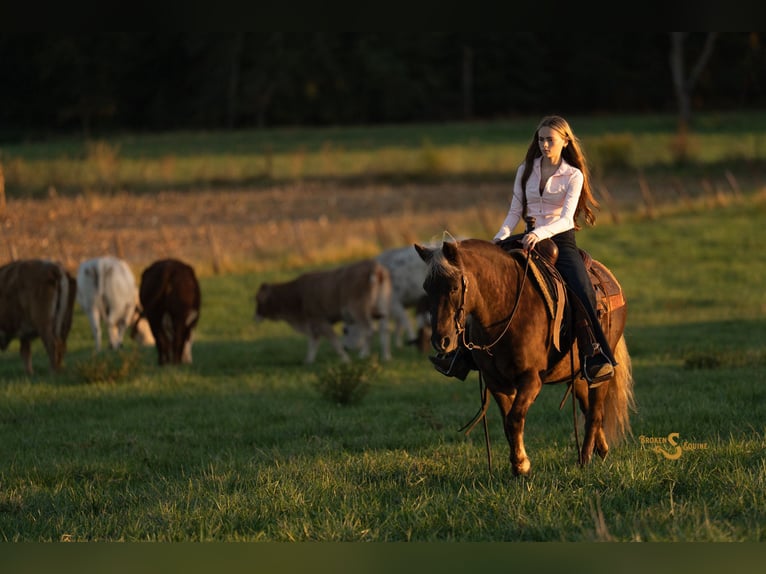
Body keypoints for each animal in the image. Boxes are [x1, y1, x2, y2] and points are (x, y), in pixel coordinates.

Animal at [414, 238, 635, 476]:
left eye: (454, 287)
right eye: (426, 288)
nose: (441, 341)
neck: (506, 311)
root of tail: (610, 278)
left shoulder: (531, 379)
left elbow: (514, 418)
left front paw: (521, 465)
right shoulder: (496, 382)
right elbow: (507, 422)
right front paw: (517, 464)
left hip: (599, 373)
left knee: (594, 412)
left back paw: (584, 458)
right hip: (576, 374)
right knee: (588, 406)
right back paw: (601, 449)